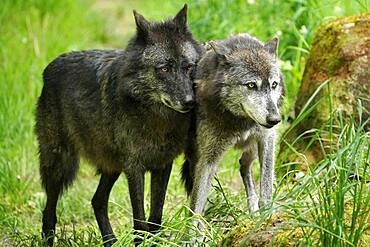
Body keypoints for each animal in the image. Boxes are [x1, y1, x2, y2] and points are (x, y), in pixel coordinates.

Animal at [36, 4, 204, 246]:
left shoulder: (163, 165)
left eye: (189, 66)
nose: (190, 102)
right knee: (49, 211)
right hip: (59, 164)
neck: (158, 120)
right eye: (163, 69)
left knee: (97, 201)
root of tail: (49, 66)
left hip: (112, 166)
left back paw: (110, 241)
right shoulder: (134, 168)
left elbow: (155, 218)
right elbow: (140, 221)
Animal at [181, 32, 284, 218]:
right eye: (251, 85)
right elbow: (197, 204)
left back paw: (254, 211)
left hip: (254, 147)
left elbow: (266, 189)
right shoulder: (208, 158)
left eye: (274, 84)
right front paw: (193, 226)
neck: (240, 121)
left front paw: (266, 217)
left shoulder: (267, 139)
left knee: (244, 166)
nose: (275, 120)